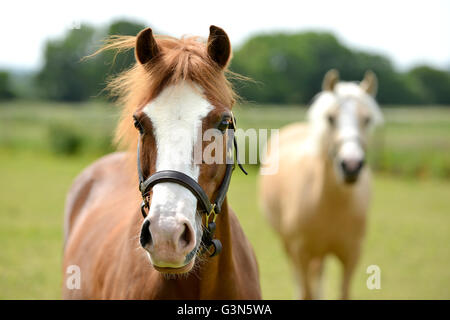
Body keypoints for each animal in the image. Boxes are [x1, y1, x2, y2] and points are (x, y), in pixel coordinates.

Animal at [260, 70, 384, 300]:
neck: (331, 202)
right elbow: (305, 291)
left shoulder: (351, 255)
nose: (351, 165)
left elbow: (343, 292)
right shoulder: (301, 252)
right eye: (331, 118)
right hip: (289, 247)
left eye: (367, 119)